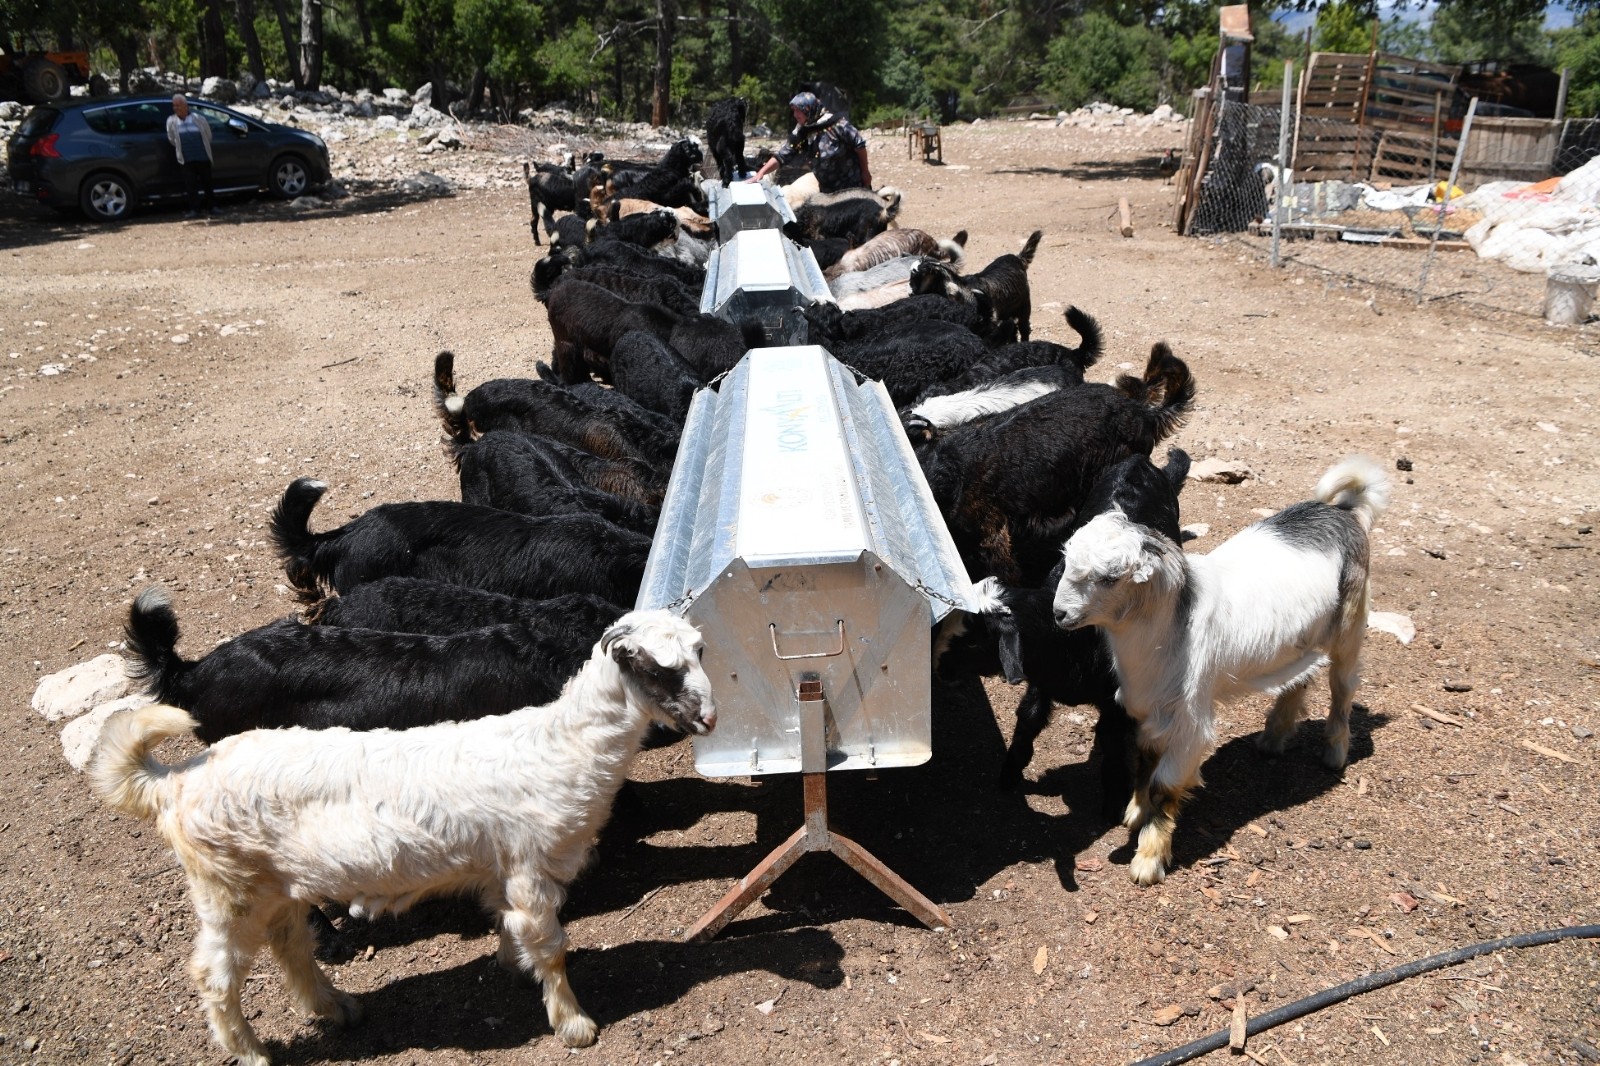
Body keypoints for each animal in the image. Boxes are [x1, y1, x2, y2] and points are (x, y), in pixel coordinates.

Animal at [89, 605, 713, 1062]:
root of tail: (175, 783)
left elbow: (509, 926)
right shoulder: (531, 867)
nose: (707, 718)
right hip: (227, 887)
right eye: (658, 668)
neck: (562, 746)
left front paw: (511, 966)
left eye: (700, 652)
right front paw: (574, 1023)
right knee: (216, 976)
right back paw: (251, 1053)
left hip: (274, 883)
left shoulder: (501, 869)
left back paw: (338, 1009)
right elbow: (552, 947)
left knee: (291, 945)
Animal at [1049, 454, 1388, 877]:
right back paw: (1273, 740)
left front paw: (1148, 860)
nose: (1059, 613)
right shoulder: (1149, 706)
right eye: (1065, 563)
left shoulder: (1190, 719)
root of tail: (1343, 512)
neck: (1171, 626)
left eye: (1111, 577)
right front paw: (1135, 811)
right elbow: (1145, 760)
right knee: (1300, 678)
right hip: (1302, 642)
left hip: (1350, 628)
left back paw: (1334, 755)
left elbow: (1165, 783)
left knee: (1343, 687)